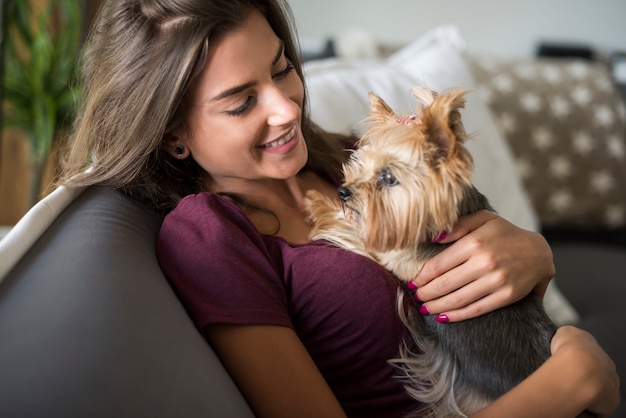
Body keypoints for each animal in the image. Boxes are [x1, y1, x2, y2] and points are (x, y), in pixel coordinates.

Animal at [304, 86, 588, 416]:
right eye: (359, 164)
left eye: (388, 178)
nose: (343, 191)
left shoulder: (393, 248)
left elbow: (355, 231)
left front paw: (317, 202)